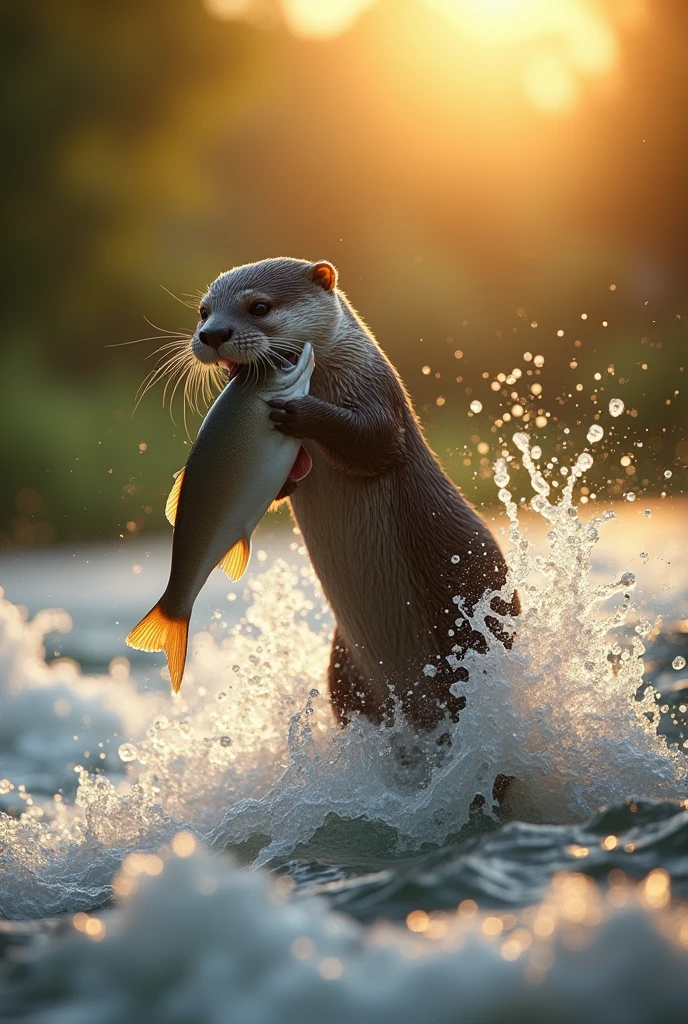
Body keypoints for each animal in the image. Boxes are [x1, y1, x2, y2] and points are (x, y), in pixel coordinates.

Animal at [190, 260, 518, 733]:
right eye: (204, 311)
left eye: (259, 307)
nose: (212, 334)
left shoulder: (377, 395)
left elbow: (373, 440)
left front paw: (299, 412)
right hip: (342, 667)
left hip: (464, 613)